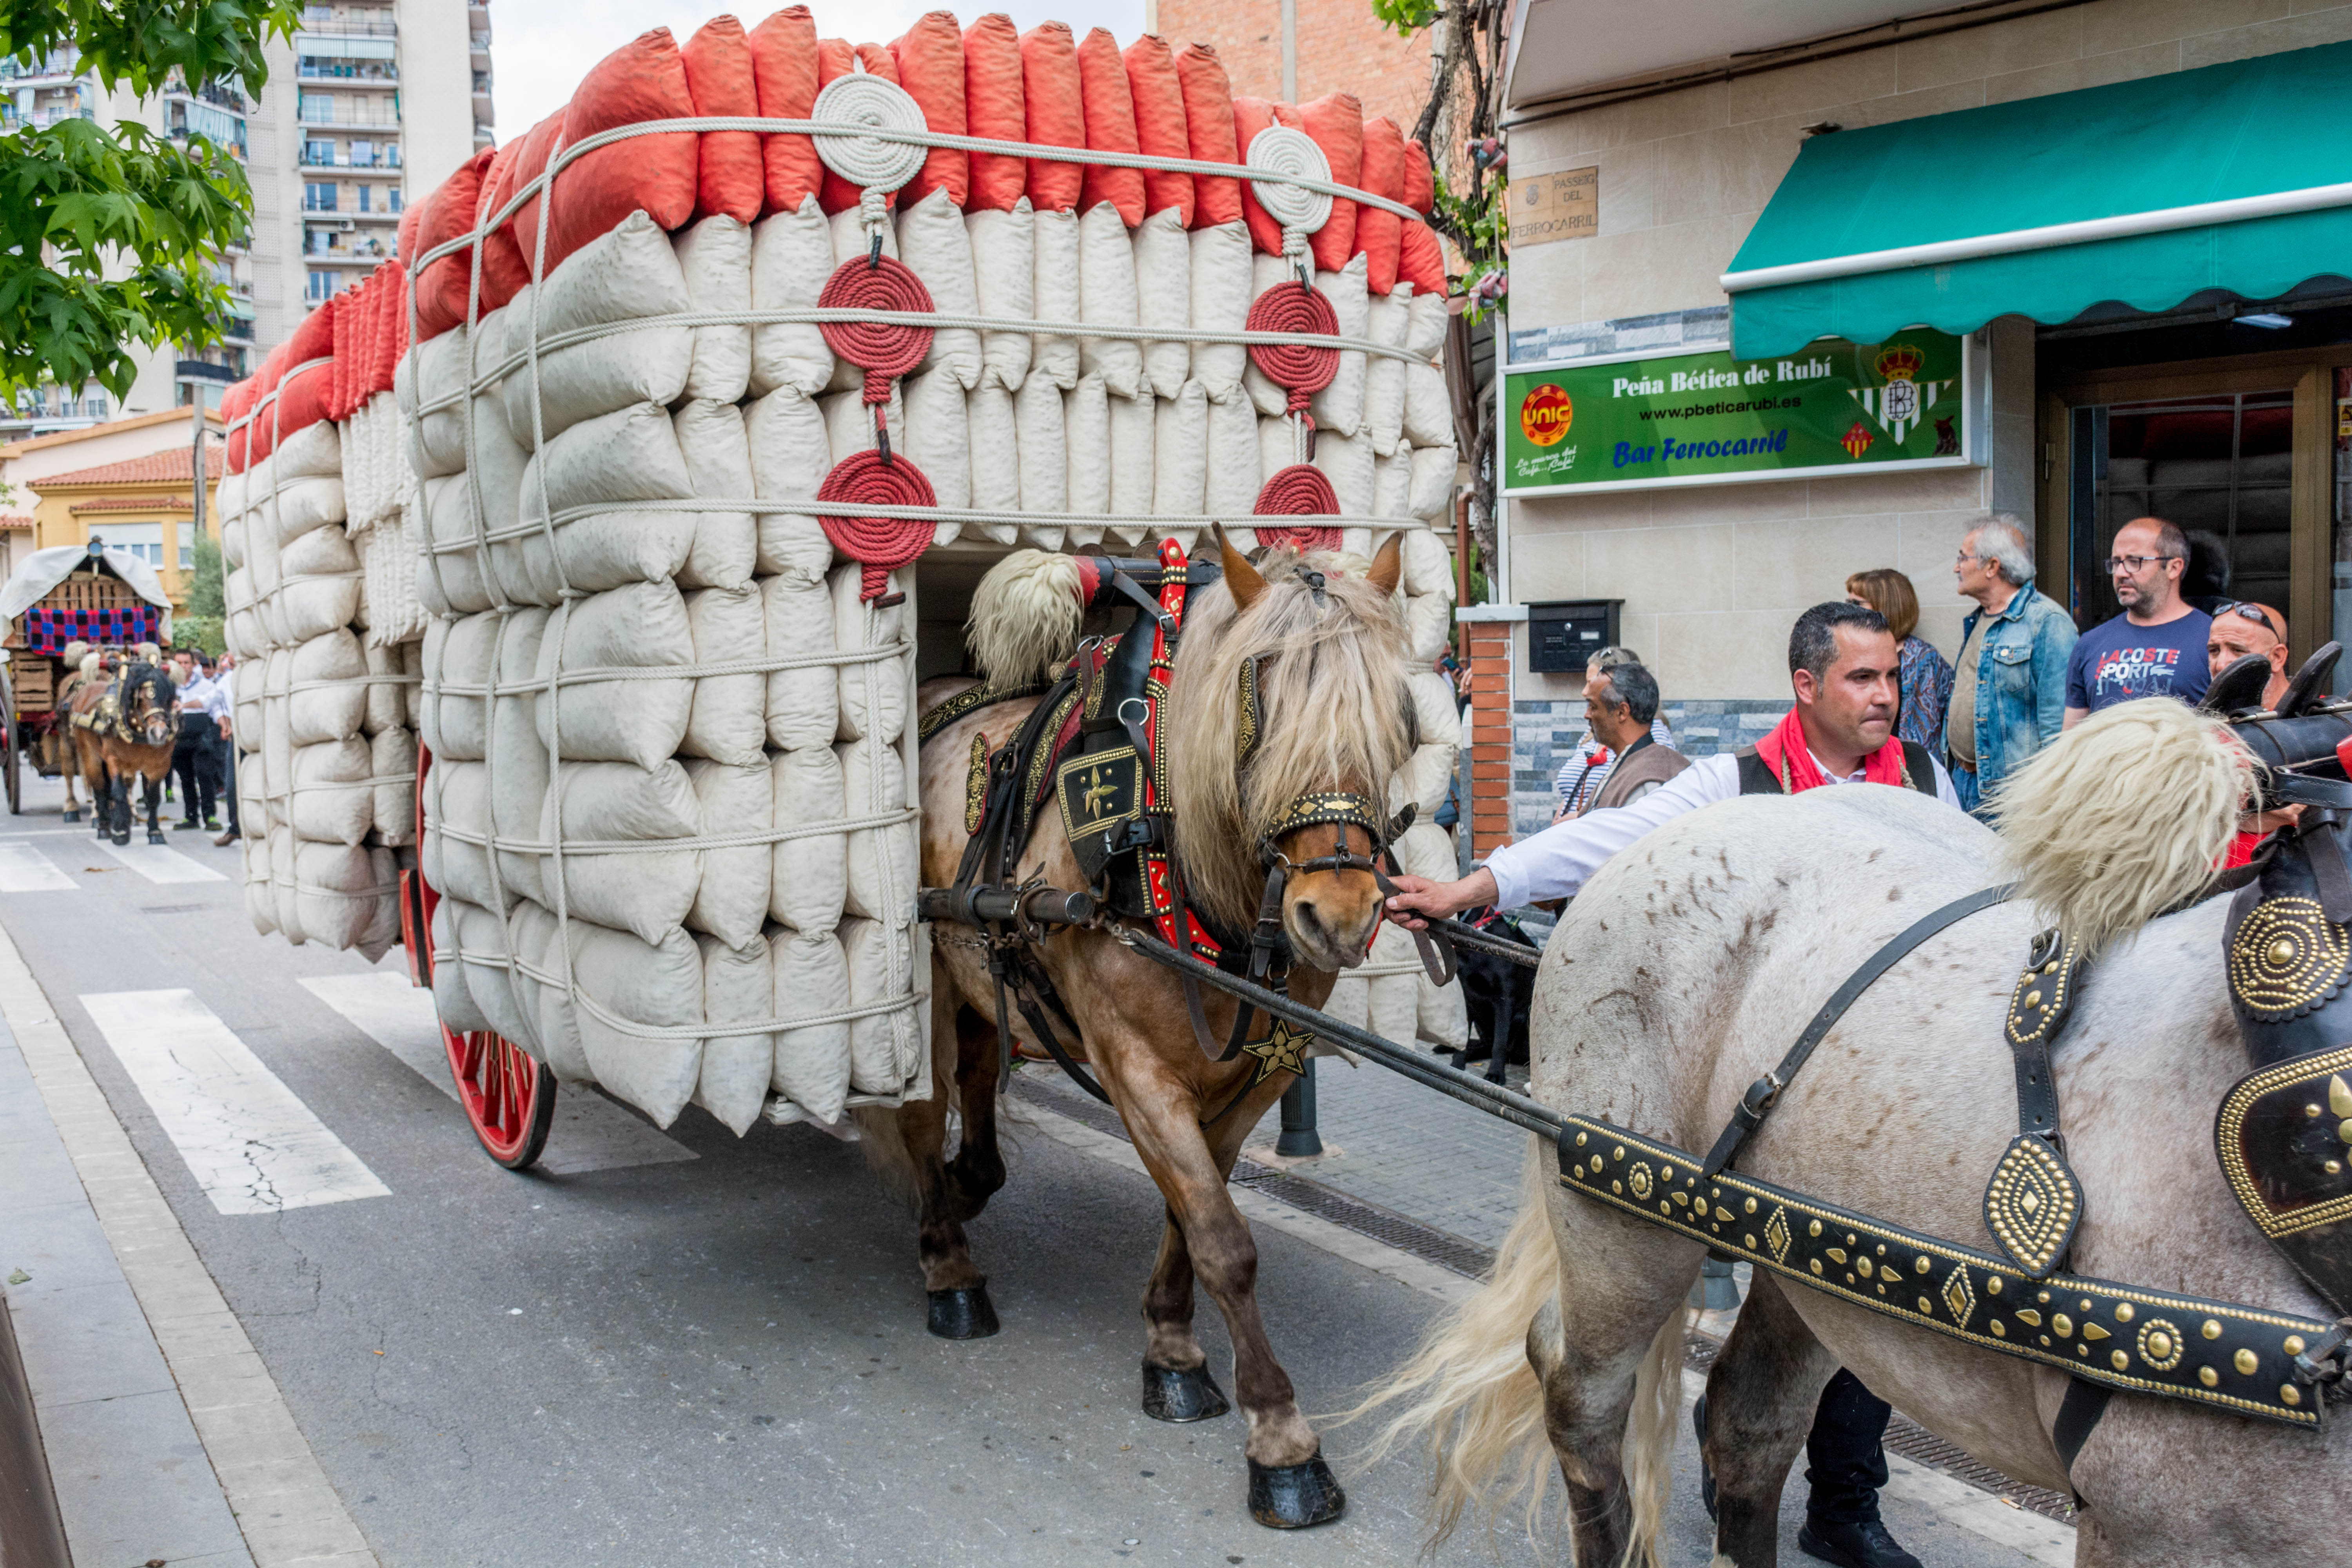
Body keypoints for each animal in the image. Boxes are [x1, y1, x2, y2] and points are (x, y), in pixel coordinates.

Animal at [69, 658, 178, 846]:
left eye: (167, 698)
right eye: (139, 699)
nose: (159, 733)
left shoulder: (160, 765)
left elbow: (153, 798)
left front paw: (155, 832)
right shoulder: (115, 761)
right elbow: (118, 793)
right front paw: (120, 832)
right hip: (91, 756)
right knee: (100, 790)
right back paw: (104, 828)